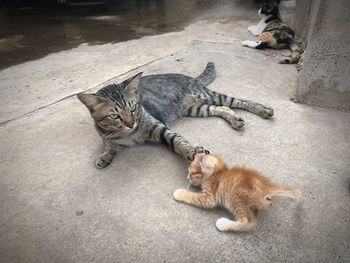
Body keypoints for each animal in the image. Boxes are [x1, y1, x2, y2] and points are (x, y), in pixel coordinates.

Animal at [77, 63, 274, 168]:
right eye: (114, 116)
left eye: (133, 108)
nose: (131, 124)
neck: (130, 135)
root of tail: (190, 78)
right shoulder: (107, 136)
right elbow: (110, 145)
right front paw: (104, 156)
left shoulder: (159, 128)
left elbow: (177, 141)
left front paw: (193, 151)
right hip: (196, 109)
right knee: (221, 108)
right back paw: (235, 119)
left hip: (207, 96)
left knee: (237, 100)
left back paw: (262, 109)